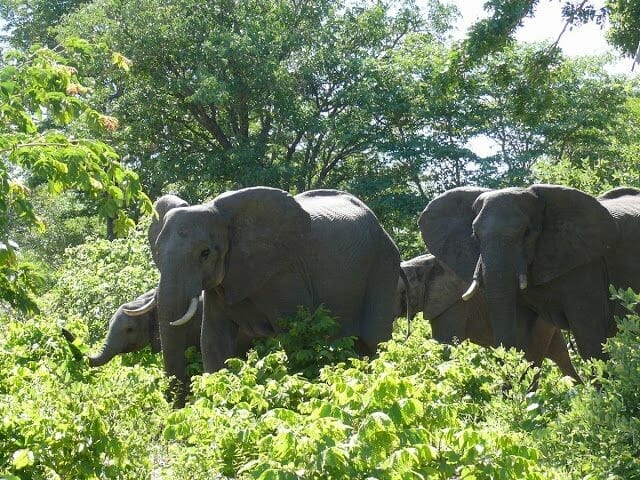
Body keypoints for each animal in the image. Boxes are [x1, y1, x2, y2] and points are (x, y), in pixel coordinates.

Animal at [148, 187, 401, 406]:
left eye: (205, 253)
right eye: (157, 252)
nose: (176, 406)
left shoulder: (286, 274)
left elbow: (296, 338)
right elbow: (212, 339)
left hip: (384, 264)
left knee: (374, 339)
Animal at [395, 254, 581, 382]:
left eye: (402, 293)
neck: (423, 264)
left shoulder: (455, 303)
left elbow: (445, 344)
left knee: (532, 357)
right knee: (560, 355)